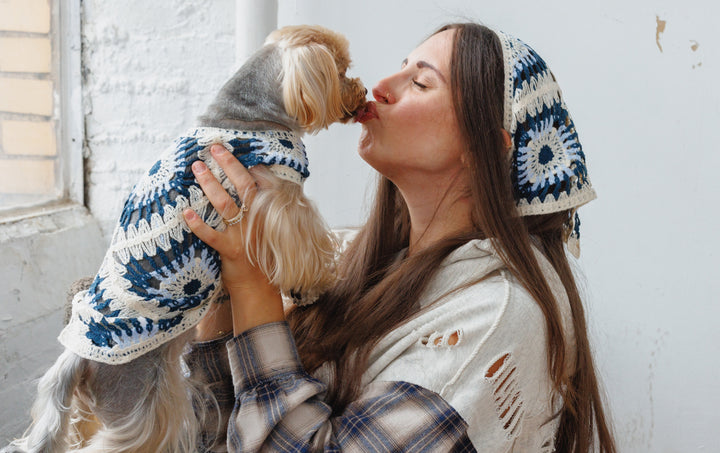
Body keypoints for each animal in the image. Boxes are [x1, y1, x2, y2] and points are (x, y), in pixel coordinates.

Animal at [4, 25, 366, 452]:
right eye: (341, 70)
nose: (362, 91)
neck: (249, 113)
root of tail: (76, 356)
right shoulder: (279, 199)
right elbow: (305, 244)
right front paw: (313, 285)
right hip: (141, 399)